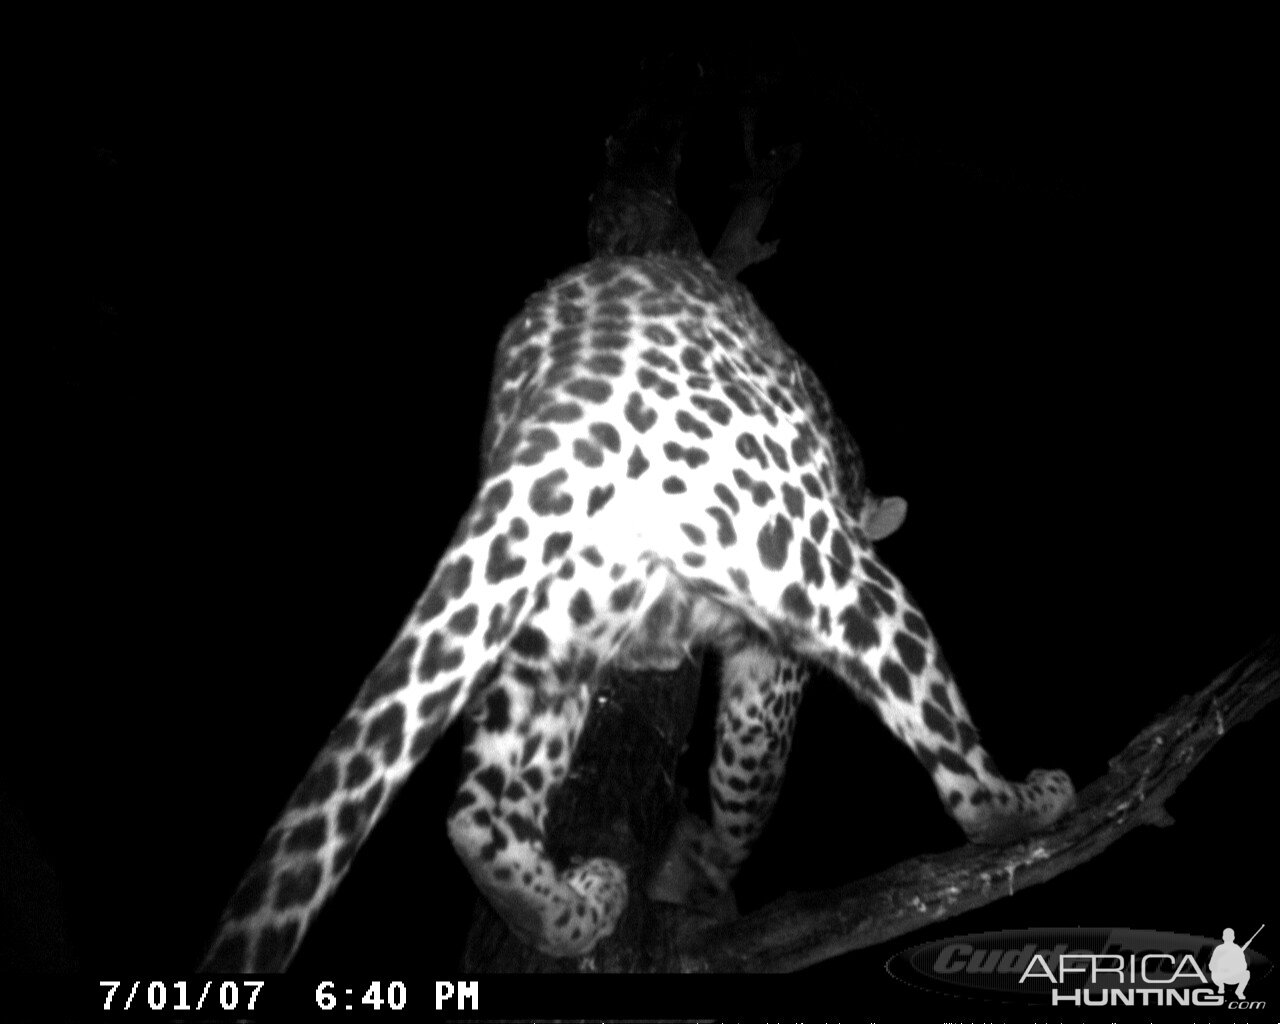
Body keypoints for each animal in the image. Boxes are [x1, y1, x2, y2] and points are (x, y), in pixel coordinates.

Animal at [199, 252, 1075, 972]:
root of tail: (575, 377)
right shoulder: (772, 667)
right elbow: (747, 782)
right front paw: (709, 873)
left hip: (550, 613)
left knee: (479, 816)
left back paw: (580, 905)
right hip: (811, 554)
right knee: (959, 776)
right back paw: (1031, 799)